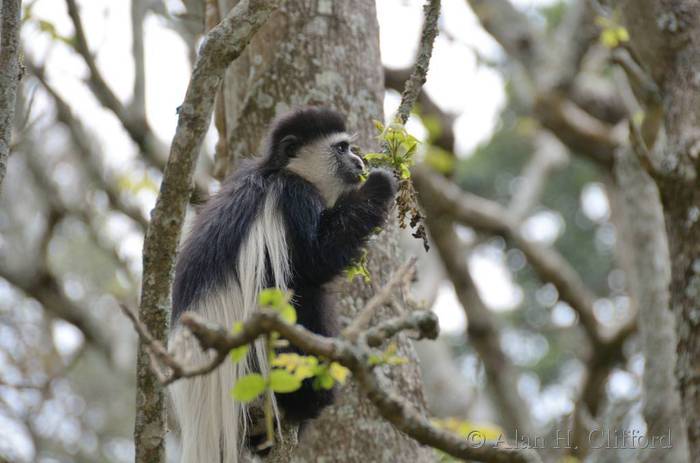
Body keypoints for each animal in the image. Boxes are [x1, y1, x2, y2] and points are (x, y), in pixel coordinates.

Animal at [169, 108, 396, 460]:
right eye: (342, 148)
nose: (359, 162)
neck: (279, 170)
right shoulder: (294, 196)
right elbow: (318, 259)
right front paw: (380, 184)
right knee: (302, 294)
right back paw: (311, 398)